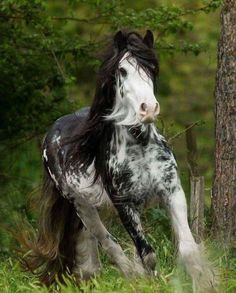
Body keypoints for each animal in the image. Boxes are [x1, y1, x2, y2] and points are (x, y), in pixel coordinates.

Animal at [22, 29, 216, 290]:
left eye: (152, 67)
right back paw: (129, 276)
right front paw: (151, 284)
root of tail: (51, 131)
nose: (149, 109)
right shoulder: (123, 202)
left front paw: (205, 283)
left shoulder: (172, 190)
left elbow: (188, 247)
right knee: (107, 242)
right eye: (122, 70)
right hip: (81, 205)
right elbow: (148, 254)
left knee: (91, 246)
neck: (140, 145)